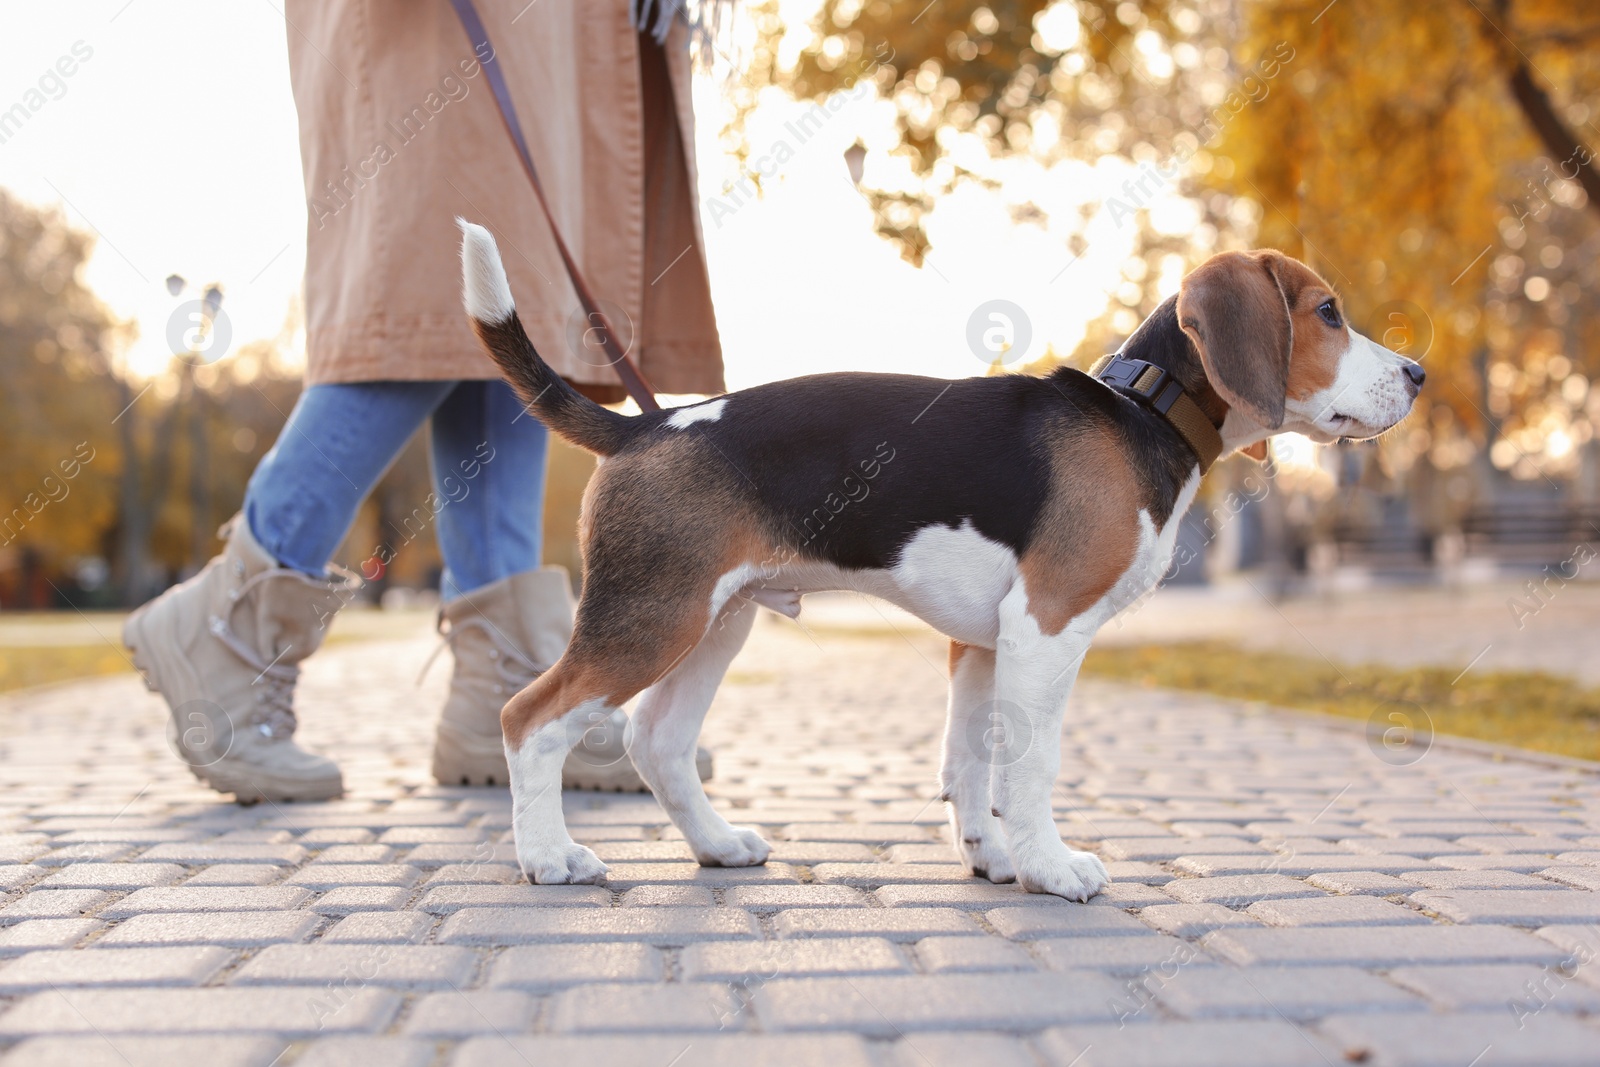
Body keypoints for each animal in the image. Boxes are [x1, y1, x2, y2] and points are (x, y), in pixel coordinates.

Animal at [457, 223, 1420, 902]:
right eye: (1327, 312)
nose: (1417, 372)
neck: (1140, 410)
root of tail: (647, 424)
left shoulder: (984, 646)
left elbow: (969, 765)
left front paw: (991, 859)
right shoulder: (1046, 629)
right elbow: (1030, 767)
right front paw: (1051, 867)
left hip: (713, 621)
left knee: (656, 740)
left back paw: (717, 845)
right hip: (650, 617)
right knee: (530, 717)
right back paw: (549, 855)